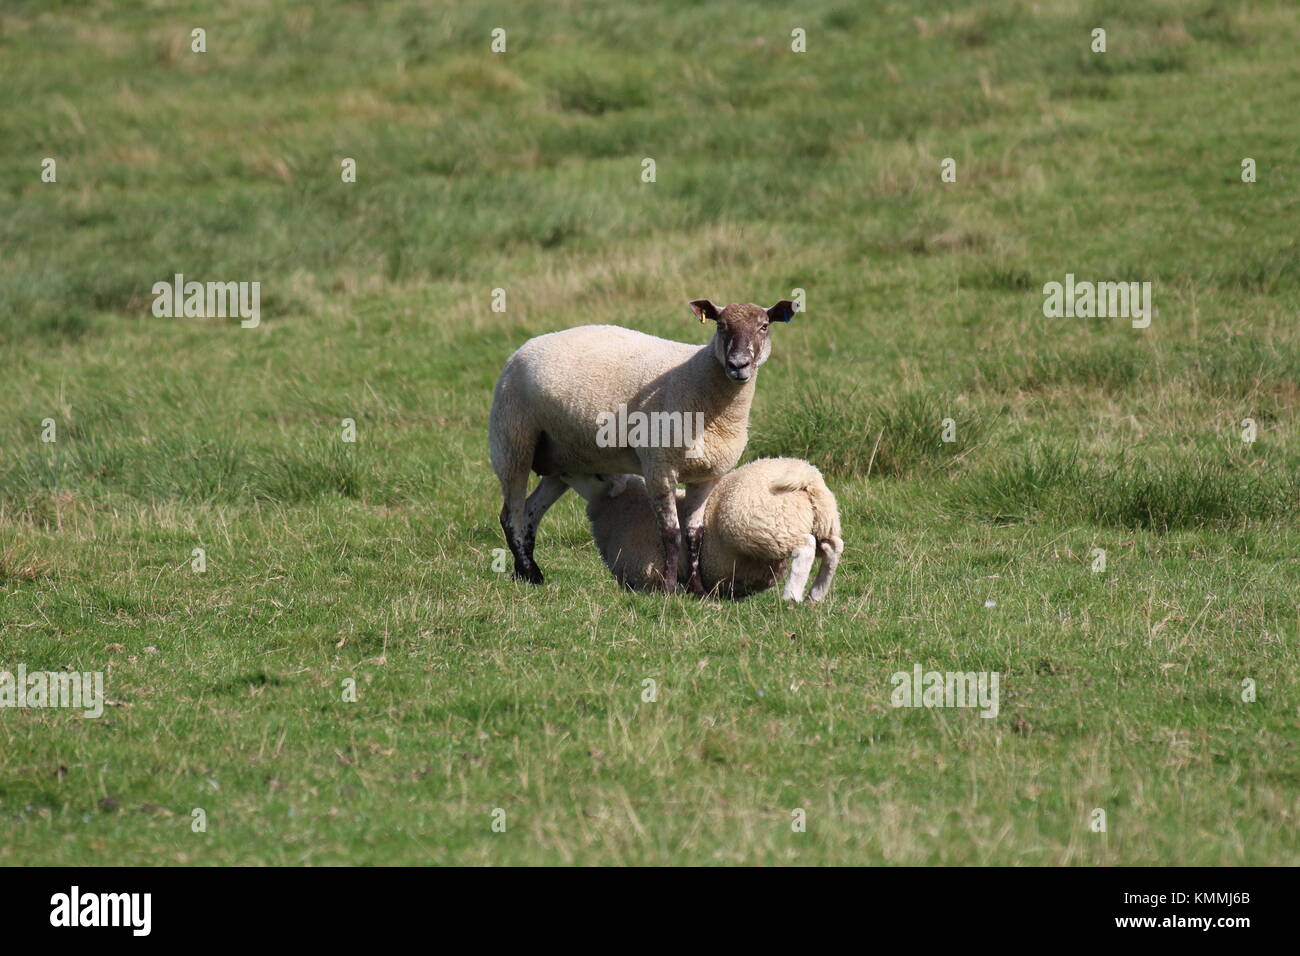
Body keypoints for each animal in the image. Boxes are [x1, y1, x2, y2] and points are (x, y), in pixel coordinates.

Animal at [486, 303, 790, 595]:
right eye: (721, 325)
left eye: (764, 326)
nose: (738, 365)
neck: (698, 379)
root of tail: (524, 348)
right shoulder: (659, 467)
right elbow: (670, 532)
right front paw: (669, 589)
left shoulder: (707, 476)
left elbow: (695, 535)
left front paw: (698, 591)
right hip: (512, 440)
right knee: (511, 515)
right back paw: (528, 571)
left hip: (564, 459)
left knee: (530, 512)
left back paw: (529, 574)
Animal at [559, 460, 842, 600]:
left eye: (598, 475)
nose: (562, 470)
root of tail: (807, 474)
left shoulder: (645, 572)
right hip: (823, 519)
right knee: (832, 548)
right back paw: (816, 594)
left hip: (761, 525)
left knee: (805, 547)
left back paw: (791, 596)